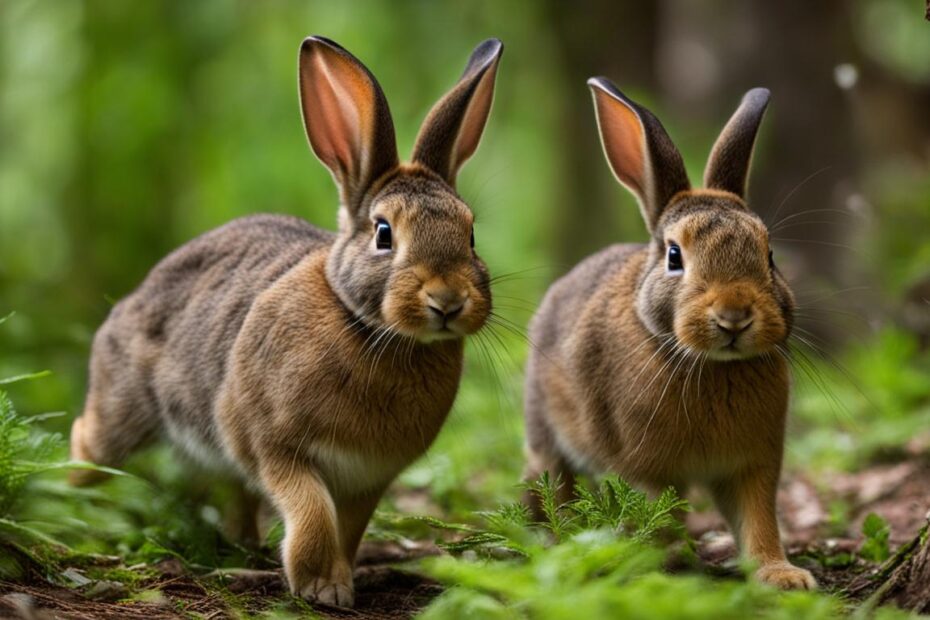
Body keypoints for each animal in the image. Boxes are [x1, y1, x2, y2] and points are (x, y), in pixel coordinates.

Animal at [68, 36, 504, 607]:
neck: (370, 330)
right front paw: (321, 587)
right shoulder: (273, 445)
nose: (448, 301)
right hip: (123, 414)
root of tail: (138, 294)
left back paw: (242, 546)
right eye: (384, 233)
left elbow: (349, 528)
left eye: (471, 234)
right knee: (87, 439)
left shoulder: (368, 480)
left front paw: (339, 581)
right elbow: (311, 510)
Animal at [522, 79, 816, 590]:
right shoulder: (645, 468)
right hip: (547, 430)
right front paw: (662, 565)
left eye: (769, 255)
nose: (734, 316)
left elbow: (759, 521)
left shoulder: (753, 466)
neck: (713, 366)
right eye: (674, 257)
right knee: (554, 483)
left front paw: (782, 576)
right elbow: (657, 515)